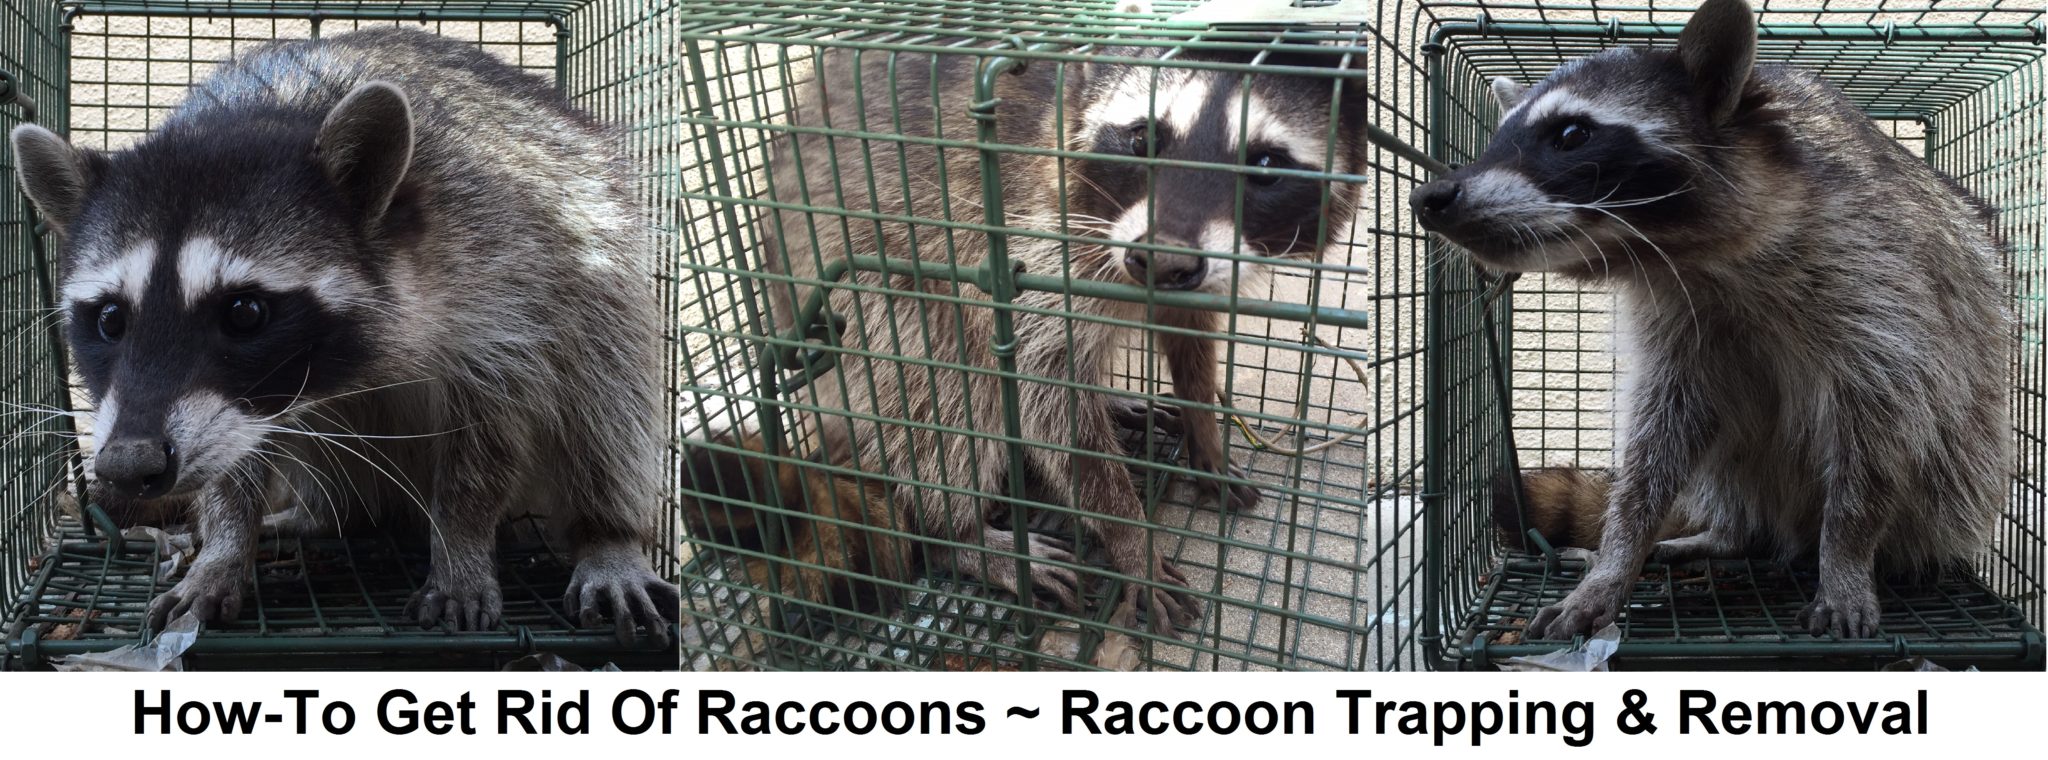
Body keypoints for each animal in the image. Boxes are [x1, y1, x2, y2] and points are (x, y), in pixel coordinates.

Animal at [9, 28, 679, 642]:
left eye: (245, 313)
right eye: (110, 320)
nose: (126, 466)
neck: (259, 116)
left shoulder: (503, 272)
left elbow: (491, 431)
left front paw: (461, 544)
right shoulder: (240, 411)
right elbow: (233, 461)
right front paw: (223, 547)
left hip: (596, 248)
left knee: (607, 386)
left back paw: (607, 533)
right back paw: (318, 516)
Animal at [752, 41, 1370, 634]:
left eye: (1265, 164)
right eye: (1143, 138)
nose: (1161, 259)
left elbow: (1187, 332)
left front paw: (1205, 435)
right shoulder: (1032, 235)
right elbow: (1043, 392)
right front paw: (1132, 543)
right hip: (853, 297)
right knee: (943, 387)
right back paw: (958, 533)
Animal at [1412, 0, 2009, 639]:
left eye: (1572, 134)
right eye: (1497, 136)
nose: (1429, 198)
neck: (1688, 257)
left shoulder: (1880, 279)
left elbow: (1881, 429)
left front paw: (1847, 555)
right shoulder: (1674, 317)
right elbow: (1658, 440)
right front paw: (1620, 555)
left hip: (1957, 482)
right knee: (1722, 462)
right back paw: (1728, 534)